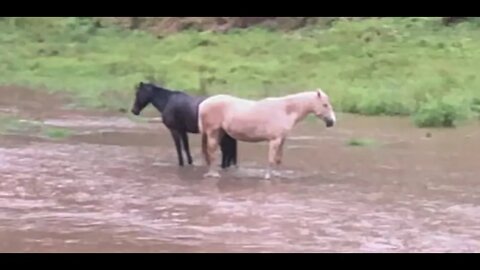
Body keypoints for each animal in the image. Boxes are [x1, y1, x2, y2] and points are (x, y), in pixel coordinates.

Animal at [197, 88, 336, 179]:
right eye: (325, 105)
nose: (332, 122)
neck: (286, 110)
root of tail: (203, 104)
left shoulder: (281, 140)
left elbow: (278, 159)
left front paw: (277, 174)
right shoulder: (274, 140)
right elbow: (271, 160)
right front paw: (268, 176)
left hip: (219, 133)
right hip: (212, 132)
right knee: (211, 152)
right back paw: (213, 174)